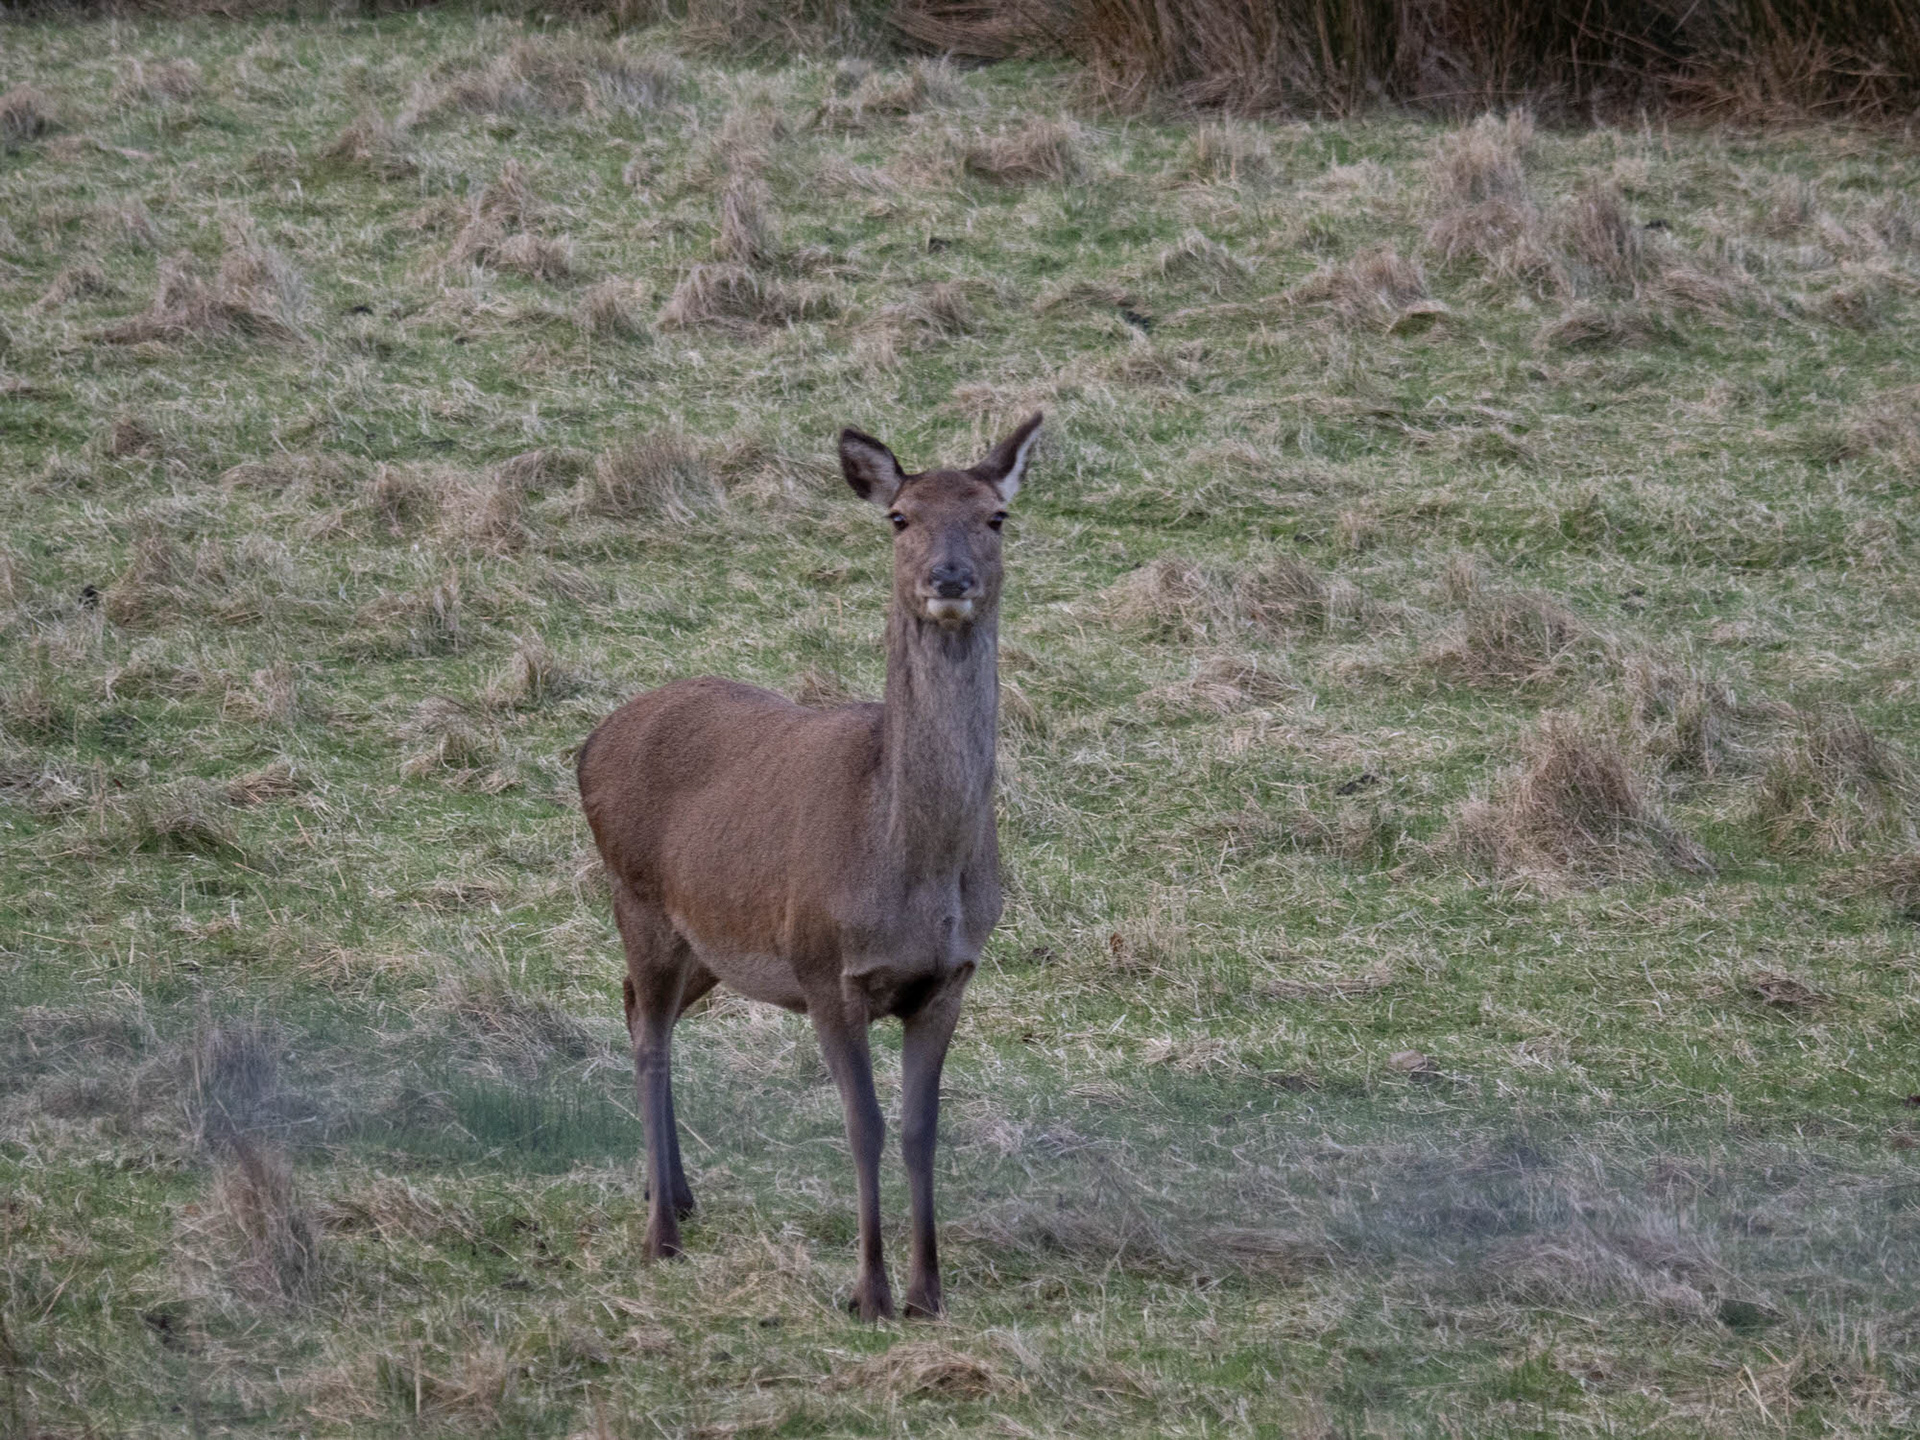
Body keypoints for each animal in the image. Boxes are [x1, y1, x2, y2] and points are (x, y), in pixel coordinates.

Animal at [577, 413, 1043, 1321]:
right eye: (899, 517)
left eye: (996, 517)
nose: (949, 577)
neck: (912, 871)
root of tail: (589, 744)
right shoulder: (826, 965)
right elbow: (863, 1124)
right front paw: (868, 1292)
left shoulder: (951, 977)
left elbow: (920, 1128)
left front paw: (928, 1292)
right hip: (637, 897)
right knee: (649, 1033)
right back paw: (661, 1236)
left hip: (707, 944)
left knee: (636, 1007)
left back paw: (675, 1194)